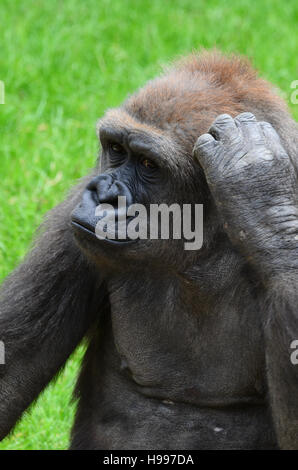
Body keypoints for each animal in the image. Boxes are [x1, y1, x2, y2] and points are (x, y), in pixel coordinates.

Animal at [0, 49, 298, 450]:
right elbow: (11, 365)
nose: (104, 194)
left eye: (147, 164)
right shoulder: (70, 224)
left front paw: (257, 184)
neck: (202, 247)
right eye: (116, 149)